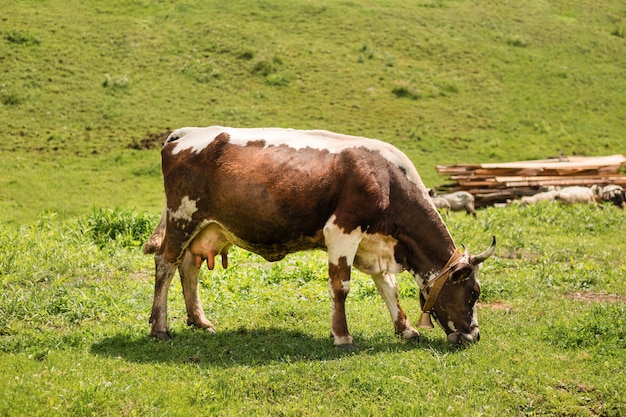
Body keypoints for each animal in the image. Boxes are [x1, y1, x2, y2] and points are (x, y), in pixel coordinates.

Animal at [144, 125, 494, 346]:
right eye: (473, 293)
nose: (474, 336)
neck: (388, 181)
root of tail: (186, 133)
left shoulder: (375, 244)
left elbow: (388, 287)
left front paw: (405, 329)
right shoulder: (341, 230)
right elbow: (342, 286)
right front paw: (342, 336)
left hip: (207, 227)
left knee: (189, 267)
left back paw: (200, 321)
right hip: (182, 216)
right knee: (166, 264)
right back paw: (160, 328)